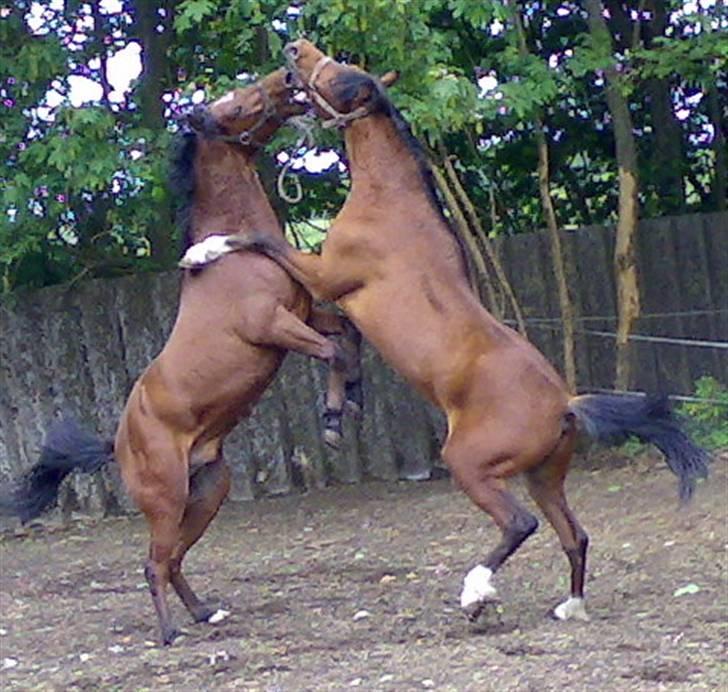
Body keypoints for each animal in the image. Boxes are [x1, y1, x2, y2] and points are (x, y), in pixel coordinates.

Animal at [7, 67, 362, 648]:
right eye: (233, 105)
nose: (288, 79)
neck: (231, 257)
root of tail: (118, 444)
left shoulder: (305, 313)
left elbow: (347, 335)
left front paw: (352, 399)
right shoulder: (274, 326)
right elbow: (333, 349)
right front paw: (334, 419)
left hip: (208, 491)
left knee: (172, 559)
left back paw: (204, 613)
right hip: (167, 499)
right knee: (154, 562)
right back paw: (170, 632)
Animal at [183, 42, 712, 628]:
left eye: (340, 76)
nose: (294, 52)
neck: (387, 200)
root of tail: (566, 406)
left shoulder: (323, 274)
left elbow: (259, 238)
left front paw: (203, 251)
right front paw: (342, 410)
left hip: (472, 465)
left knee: (520, 524)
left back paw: (476, 594)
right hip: (544, 477)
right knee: (574, 535)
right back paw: (568, 606)